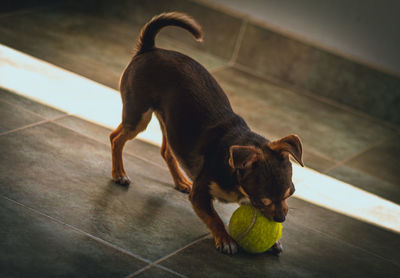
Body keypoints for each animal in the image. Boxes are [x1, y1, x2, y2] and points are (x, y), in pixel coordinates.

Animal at [109, 13, 304, 256]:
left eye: (290, 194)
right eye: (263, 201)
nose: (281, 219)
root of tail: (149, 48)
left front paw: (274, 240)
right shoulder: (201, 196)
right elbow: (214, 218)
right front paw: (225, 239)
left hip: (169, 123)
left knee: (166, 151)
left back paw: (180, 181)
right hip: (138, 116)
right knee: (116, 138)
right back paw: (119, 173)